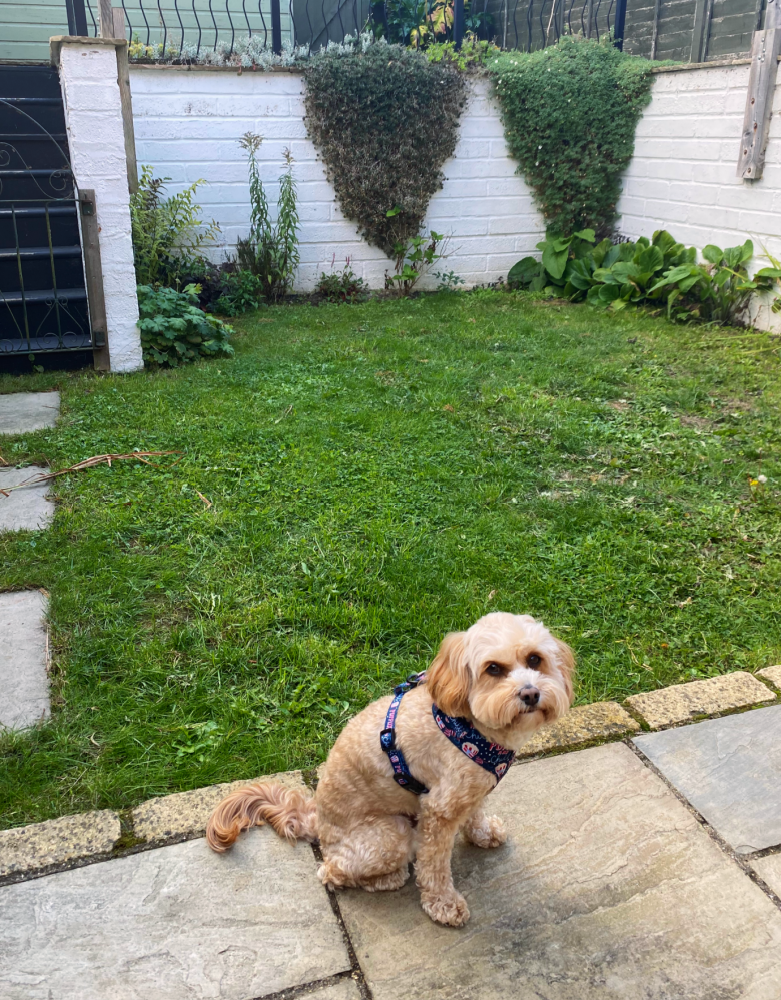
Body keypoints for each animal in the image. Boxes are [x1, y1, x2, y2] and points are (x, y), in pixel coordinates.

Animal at [207, 612, 572, 924]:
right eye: (493, 669)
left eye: (535, 659)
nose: (530, 694)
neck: (470, 726)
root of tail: (317, 822)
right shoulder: (438, 811)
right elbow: (434, 866)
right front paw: (443, 905)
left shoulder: (471, 791)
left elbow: (475, 814)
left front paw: (482, 833)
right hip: (391, 834)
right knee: (331, 871)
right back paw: (388, 877)